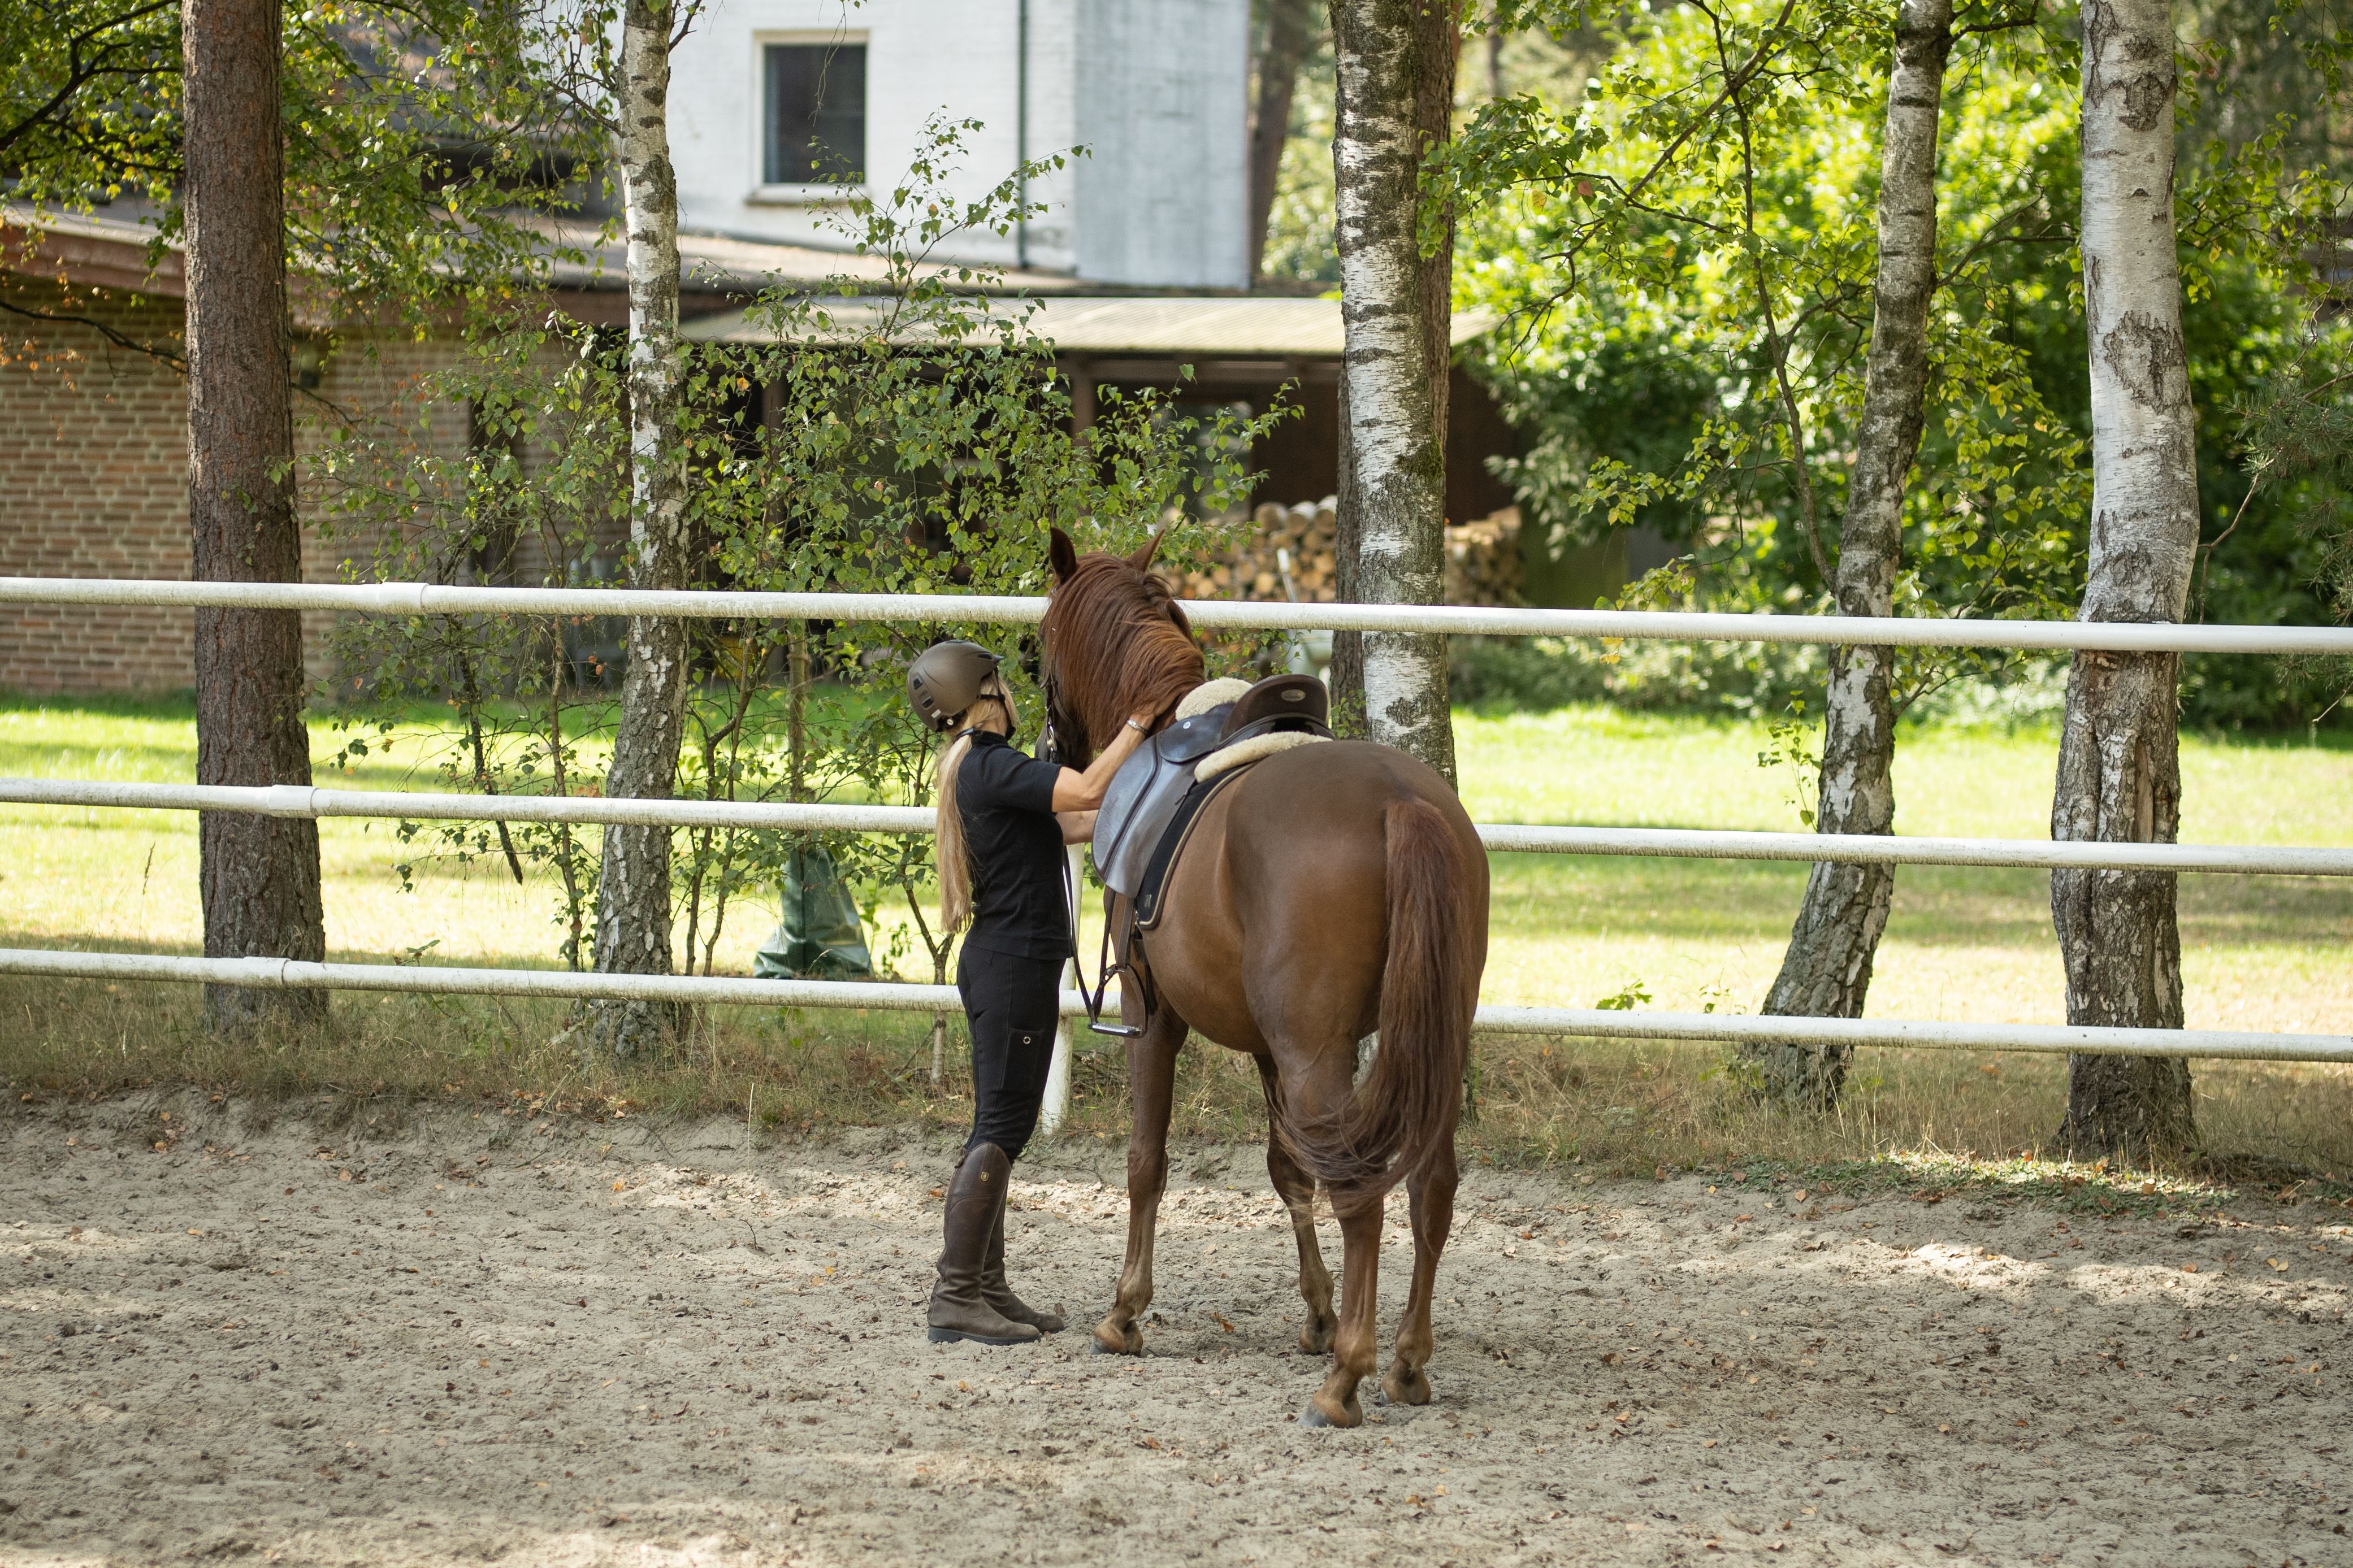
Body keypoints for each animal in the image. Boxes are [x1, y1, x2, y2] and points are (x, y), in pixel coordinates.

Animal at [1038, 527, 1490, 1427]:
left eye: (1041, 644)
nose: (1051, 750)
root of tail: (1399, 801)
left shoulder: (1155, 1015)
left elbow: (1146, 1159)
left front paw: (1124, 1312)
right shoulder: (1266, 1044)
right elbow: (1287, 1169)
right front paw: (1314, 1313)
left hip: (1316, 1053)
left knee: (1361, 1190)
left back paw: (1345, 1379)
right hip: (1429, 1039)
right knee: (1429, 1185)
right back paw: (1405, 1363)